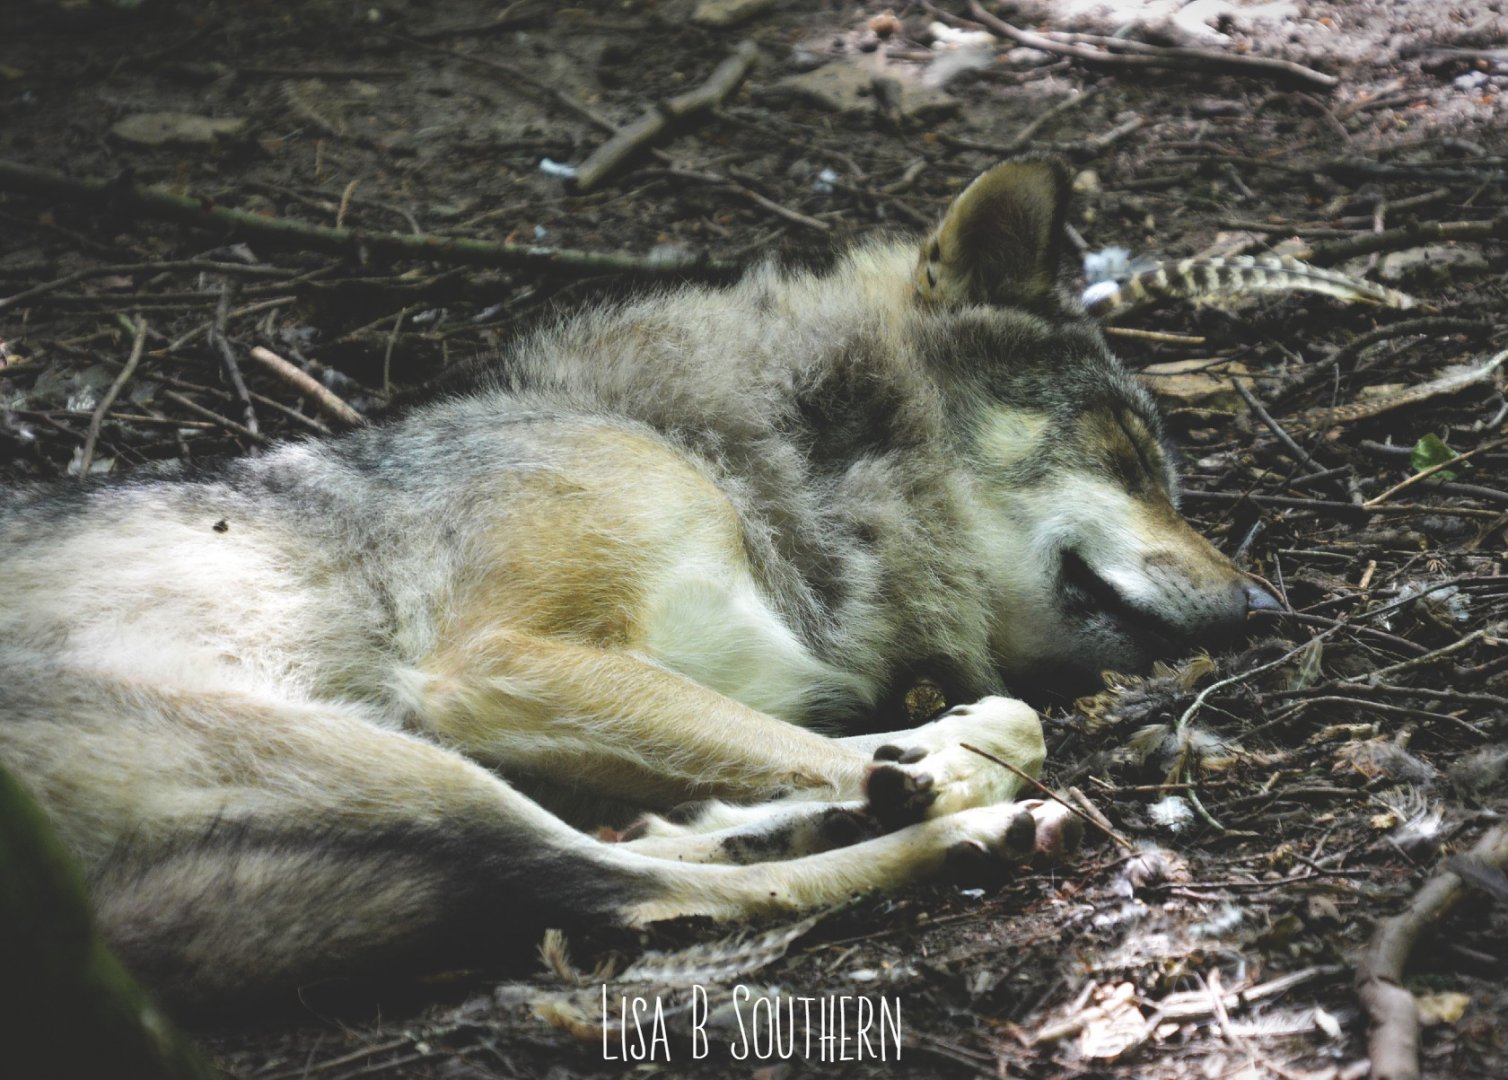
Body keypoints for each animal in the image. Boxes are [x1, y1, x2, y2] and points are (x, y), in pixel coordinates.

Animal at [0, 159, 1274, 1007]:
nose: (1270, 609)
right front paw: (936, 772)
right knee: (605, 886)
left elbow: (969, 720)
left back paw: (825, 817)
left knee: (627, 870)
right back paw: (955, 829)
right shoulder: (499, 664)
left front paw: (892, 769)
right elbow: (976, 731)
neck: (728, 457)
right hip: (366, 747)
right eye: (1126, 454)